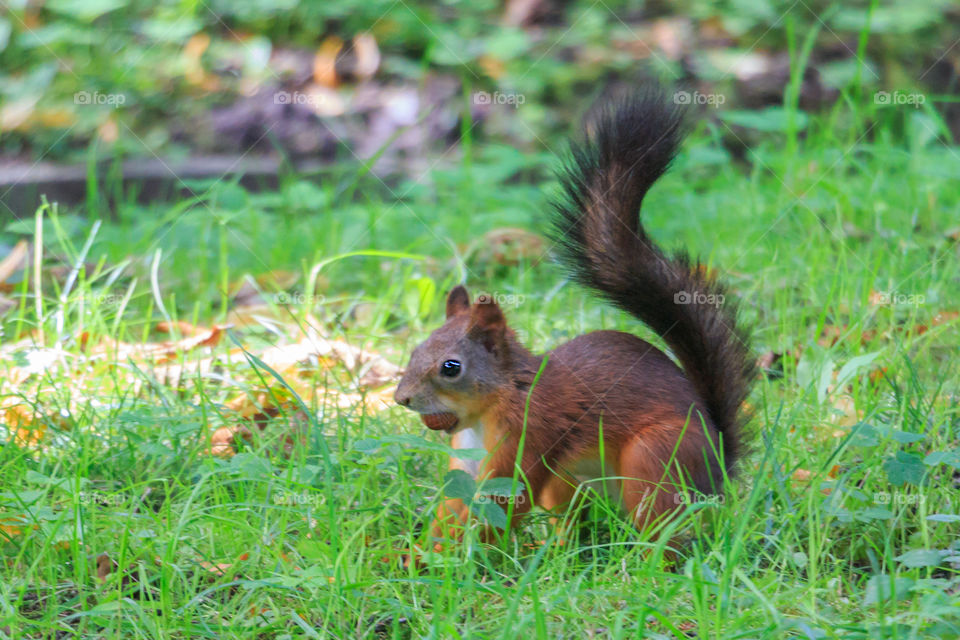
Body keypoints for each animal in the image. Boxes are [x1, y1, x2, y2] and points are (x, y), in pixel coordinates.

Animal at [394, 89, 752, 544]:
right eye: (415, 350)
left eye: (451, 367)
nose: (402, 398)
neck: (496, 400)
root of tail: (719, 463)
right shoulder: (469, 455)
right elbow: (456, 503)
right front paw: (428, 549)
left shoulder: (530, 432)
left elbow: (504, 500)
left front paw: (467, 555)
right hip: (571, 482)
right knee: (571, 517)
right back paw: (555, 548)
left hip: (655, 459)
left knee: (661, 527)